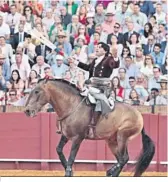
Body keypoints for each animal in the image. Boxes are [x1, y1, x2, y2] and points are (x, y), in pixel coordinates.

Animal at [24, 79, 156, 177]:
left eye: (37, 91)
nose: (27, 111)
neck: (71, 105)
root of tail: (139, 115)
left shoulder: (78, 138)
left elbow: (72, 156)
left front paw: (68, 172)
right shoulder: (66, 135)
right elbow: (59, 150)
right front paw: (69, 170)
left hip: (122, 136)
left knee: (123, 158)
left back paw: (111, 172)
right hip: (112, 141)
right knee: (123, 158)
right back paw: (111, 172)